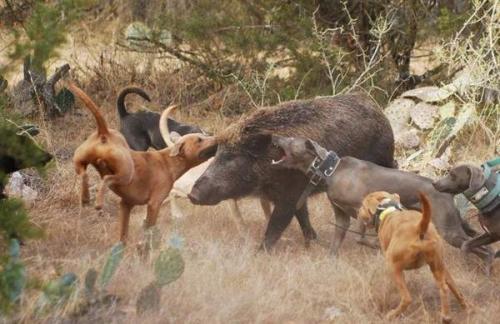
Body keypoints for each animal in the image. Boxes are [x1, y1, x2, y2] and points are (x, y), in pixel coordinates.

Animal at [270, 135, 492, 272]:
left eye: (290, 139)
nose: (273, 137)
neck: (331, 170)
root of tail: (447, 193)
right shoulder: (342, 217)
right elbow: (335, 246)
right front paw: (330, 264)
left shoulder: (363, 210)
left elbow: (361, 238)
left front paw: (375, 245)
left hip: (448, 230)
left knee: (483, 249)